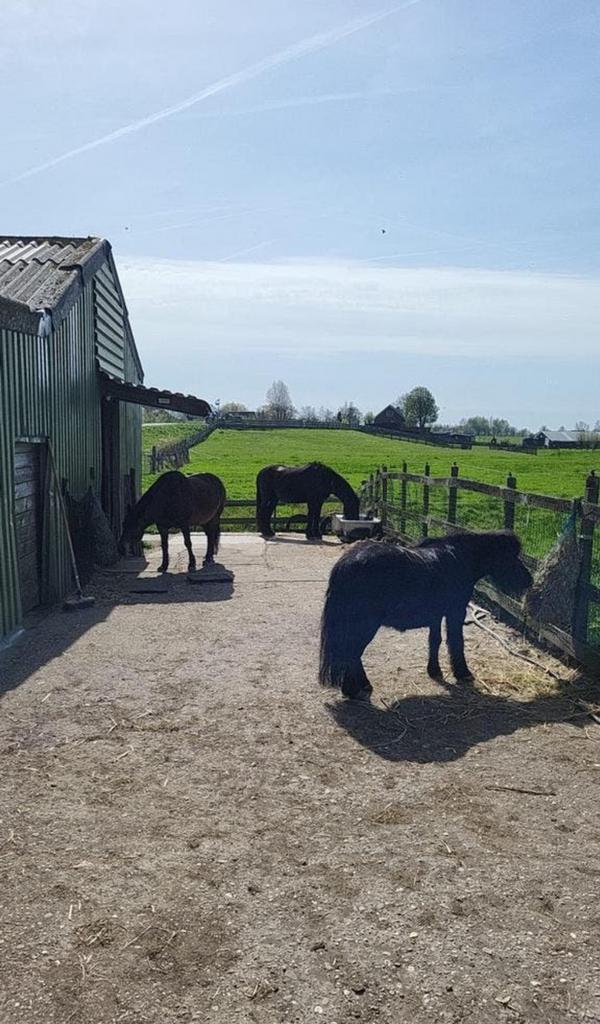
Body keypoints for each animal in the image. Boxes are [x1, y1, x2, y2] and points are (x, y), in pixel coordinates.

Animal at [319, 530, 533, 699]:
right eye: (510, 557)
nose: (528, 580)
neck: (459, 559)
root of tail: (346, 563)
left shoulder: (436, 615)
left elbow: (435, 641)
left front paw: (434, 671)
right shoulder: (455, 612)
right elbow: (456, 642)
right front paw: (463, 673)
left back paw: (361, 685)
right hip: (365, 624)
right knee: (352, 652)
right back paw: (353, 690)